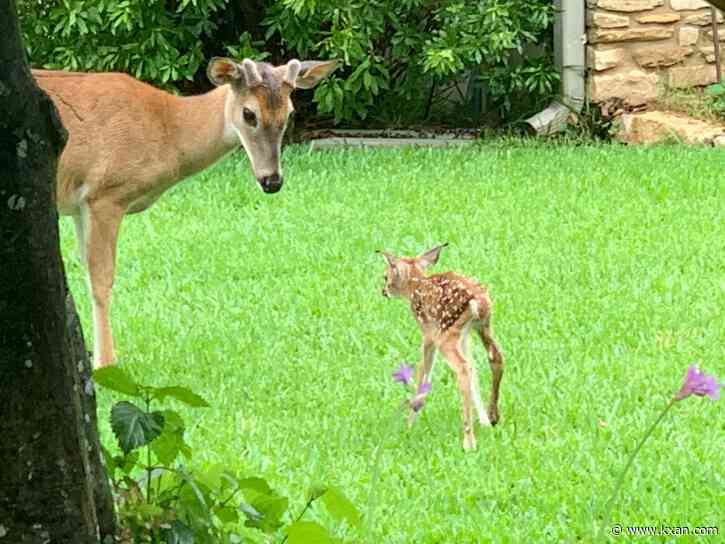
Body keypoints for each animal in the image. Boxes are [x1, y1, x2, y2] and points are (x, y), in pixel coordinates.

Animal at [34, 57, 339, 368]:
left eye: (289, 113)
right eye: (249, 114)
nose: (272, 181)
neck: (168, 128)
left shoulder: (79, 206)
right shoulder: (105, 193)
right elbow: (101, 280)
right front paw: (105, 363)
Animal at [378, 244, 504, 451]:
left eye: (385, 276)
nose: (383, 291)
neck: (415, 285)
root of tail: (478, 301)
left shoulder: (428, 332)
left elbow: (423, 371)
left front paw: (409, 423)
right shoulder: (465, 335)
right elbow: (475, 371)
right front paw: (484, 421)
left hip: (446, 332)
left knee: (462, 367)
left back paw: (469, 441)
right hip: (482, 325)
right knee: (494, 358)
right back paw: (492, 416)